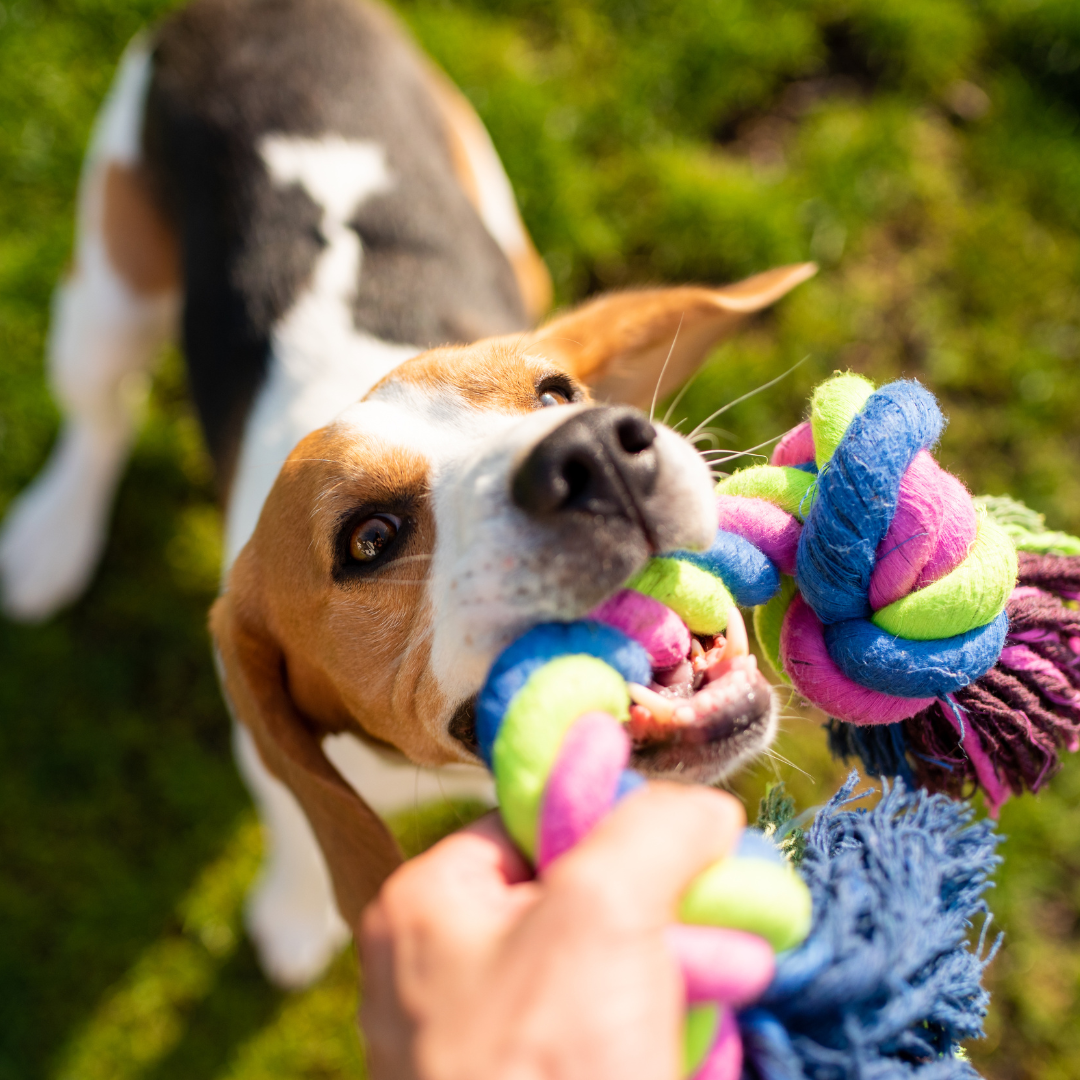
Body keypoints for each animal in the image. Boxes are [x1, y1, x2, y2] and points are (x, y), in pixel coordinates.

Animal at [0, 0, 812, 989]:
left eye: (556, 394)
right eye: (370, 538)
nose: (595, 453)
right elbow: (300, 825)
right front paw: (297, 914)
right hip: (106, 290)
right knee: (99, 412)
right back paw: (52, 535)